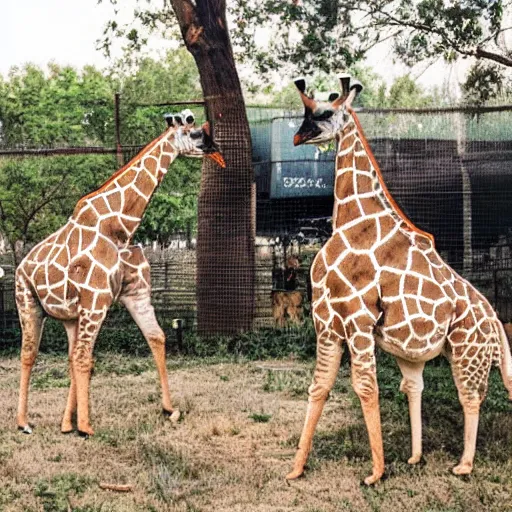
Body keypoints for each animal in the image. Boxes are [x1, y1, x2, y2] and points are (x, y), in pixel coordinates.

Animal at [16, 110, 225, 438]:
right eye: (195, 133)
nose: (218, 152)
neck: (122, 226)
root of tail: (21, 265)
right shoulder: (98, 299)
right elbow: (86, 358)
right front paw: (86, 427)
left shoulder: (135, 293)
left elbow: (157, 337)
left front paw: (170, 409)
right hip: (28, 301)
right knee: (30, 354)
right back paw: (25, 422)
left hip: (70, 316)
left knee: (71, 354)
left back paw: (65, 423)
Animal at [284, 76, 512, 484]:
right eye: (303, 112)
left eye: (323, 113)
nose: (297, 137)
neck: (351, 222)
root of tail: (496, 322)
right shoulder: (326, 322)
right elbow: (319, 386)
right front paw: (296, 469)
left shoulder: (357, 319)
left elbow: (365, 387)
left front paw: (375, 472)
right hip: (420, 352)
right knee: (415, 387)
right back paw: (415, 456)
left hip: (469, 351)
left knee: (470, 396)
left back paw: (464, 464)